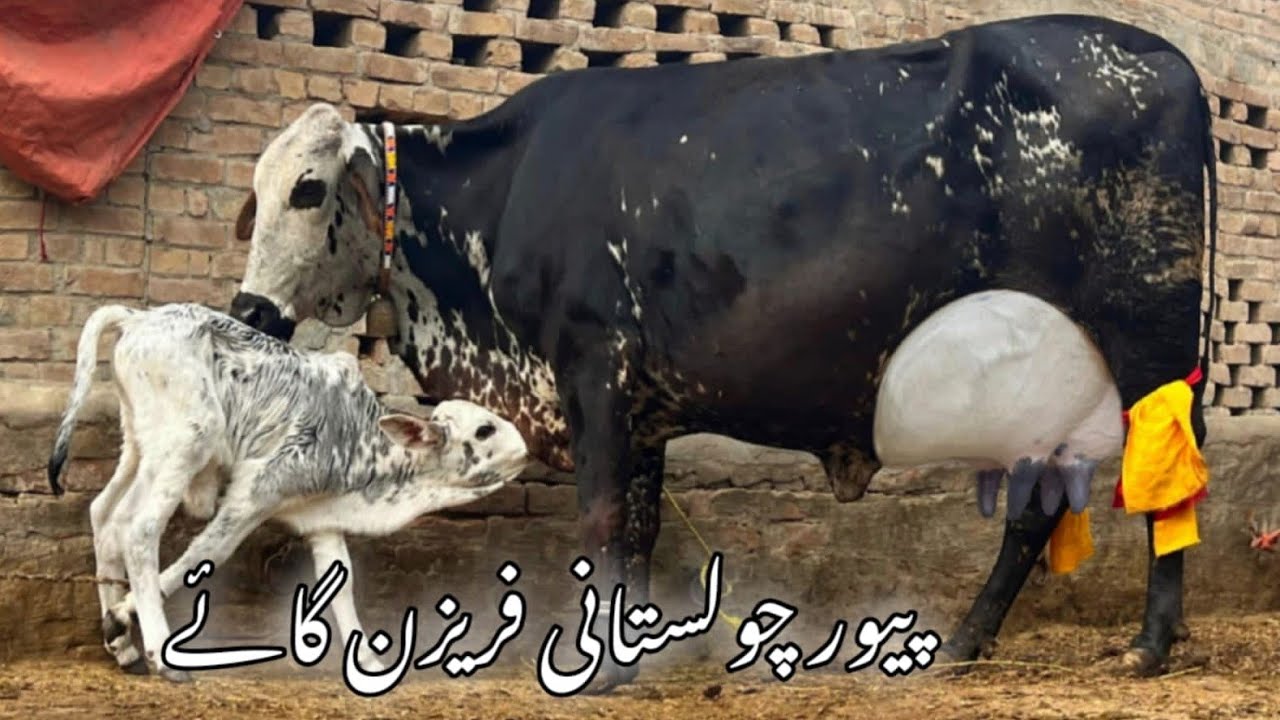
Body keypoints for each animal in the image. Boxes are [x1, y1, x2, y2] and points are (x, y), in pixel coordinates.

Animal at [228, 13, 1217, 688]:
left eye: (309, 189)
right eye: (257, 190)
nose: (249, 308)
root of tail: (1170, 61)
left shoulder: (594, 371)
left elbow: (599, 523)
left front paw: (599, 666)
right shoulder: (642, 408)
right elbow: (640, 527)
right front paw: (626, 654)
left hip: (1145, 340)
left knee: (1165, 471)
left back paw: (1151, 641)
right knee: (1041, 504)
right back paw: (972, 640)